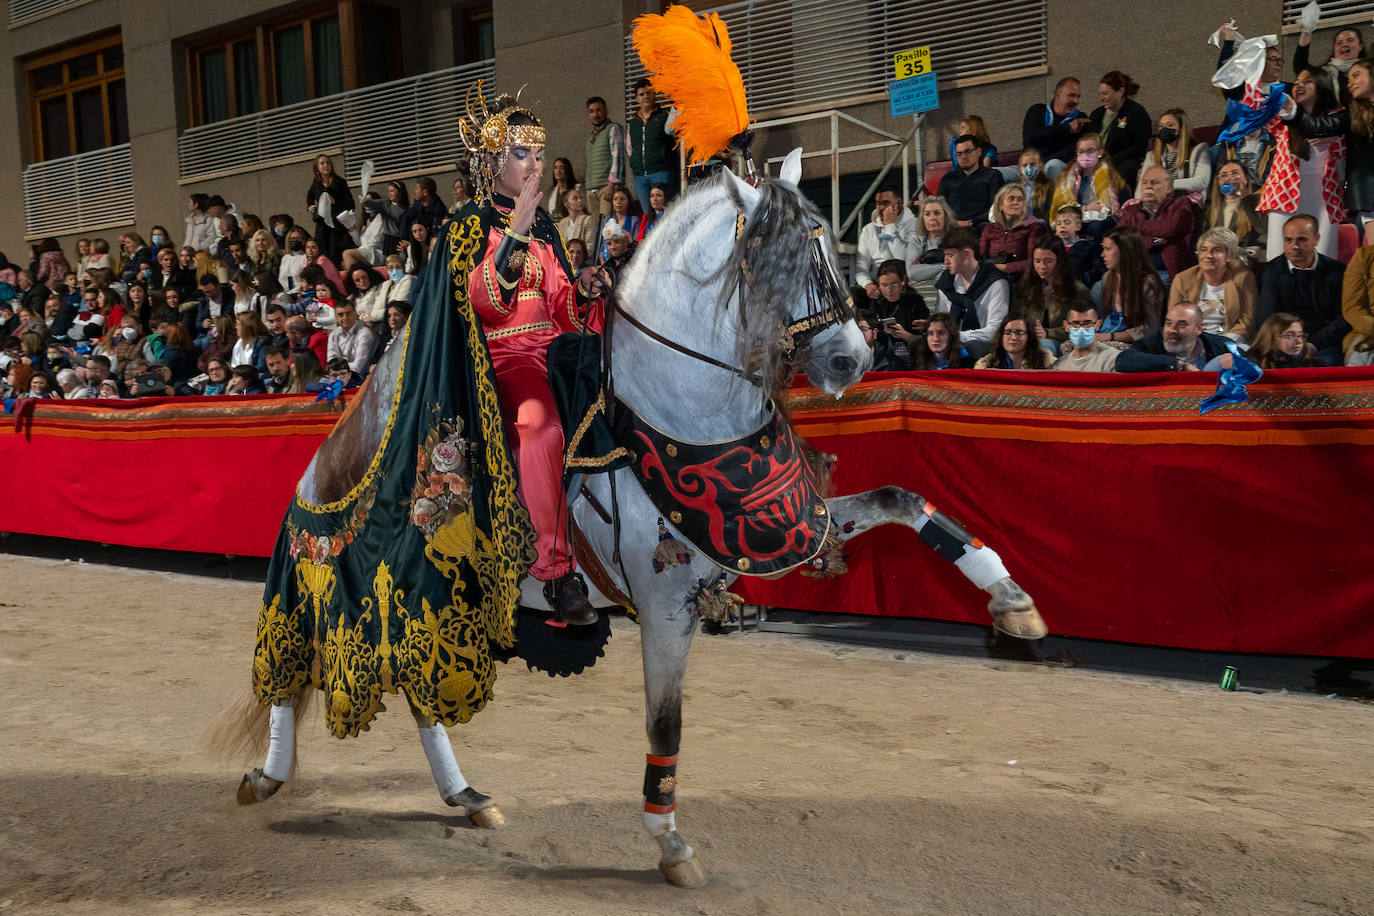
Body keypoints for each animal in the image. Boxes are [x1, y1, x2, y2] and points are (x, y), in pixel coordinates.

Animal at [236, 149, 1044, 889]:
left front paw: (1013, 602)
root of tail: (339, 441)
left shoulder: (786, 527)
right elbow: (666, 723)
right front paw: (670, 840)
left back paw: (464, 795)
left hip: (425, 601)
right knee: (294, 665)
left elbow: (904, 502)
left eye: (829, 244)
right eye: (777, 255)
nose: (852, 359)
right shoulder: (663, 604)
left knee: (418, 691)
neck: (677, 413)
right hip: (350, 590)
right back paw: (267, 776)